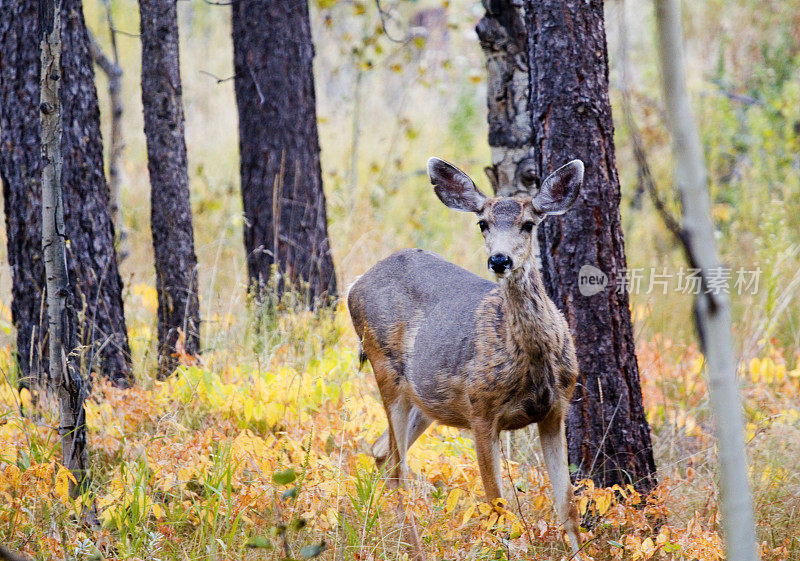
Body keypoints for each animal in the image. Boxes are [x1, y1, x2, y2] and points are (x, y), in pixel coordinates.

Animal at [346, 156, 584, 556]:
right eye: (482, 223)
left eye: (529, 223)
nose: (500, 259)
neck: (531, 361)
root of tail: (353, 284)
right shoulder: (481, 412)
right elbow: (498, 506)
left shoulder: (556, 409)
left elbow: (567, 505)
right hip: (385, 368)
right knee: (397, 467)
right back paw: (415, 551)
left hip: (427, 399)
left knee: (380, 452)